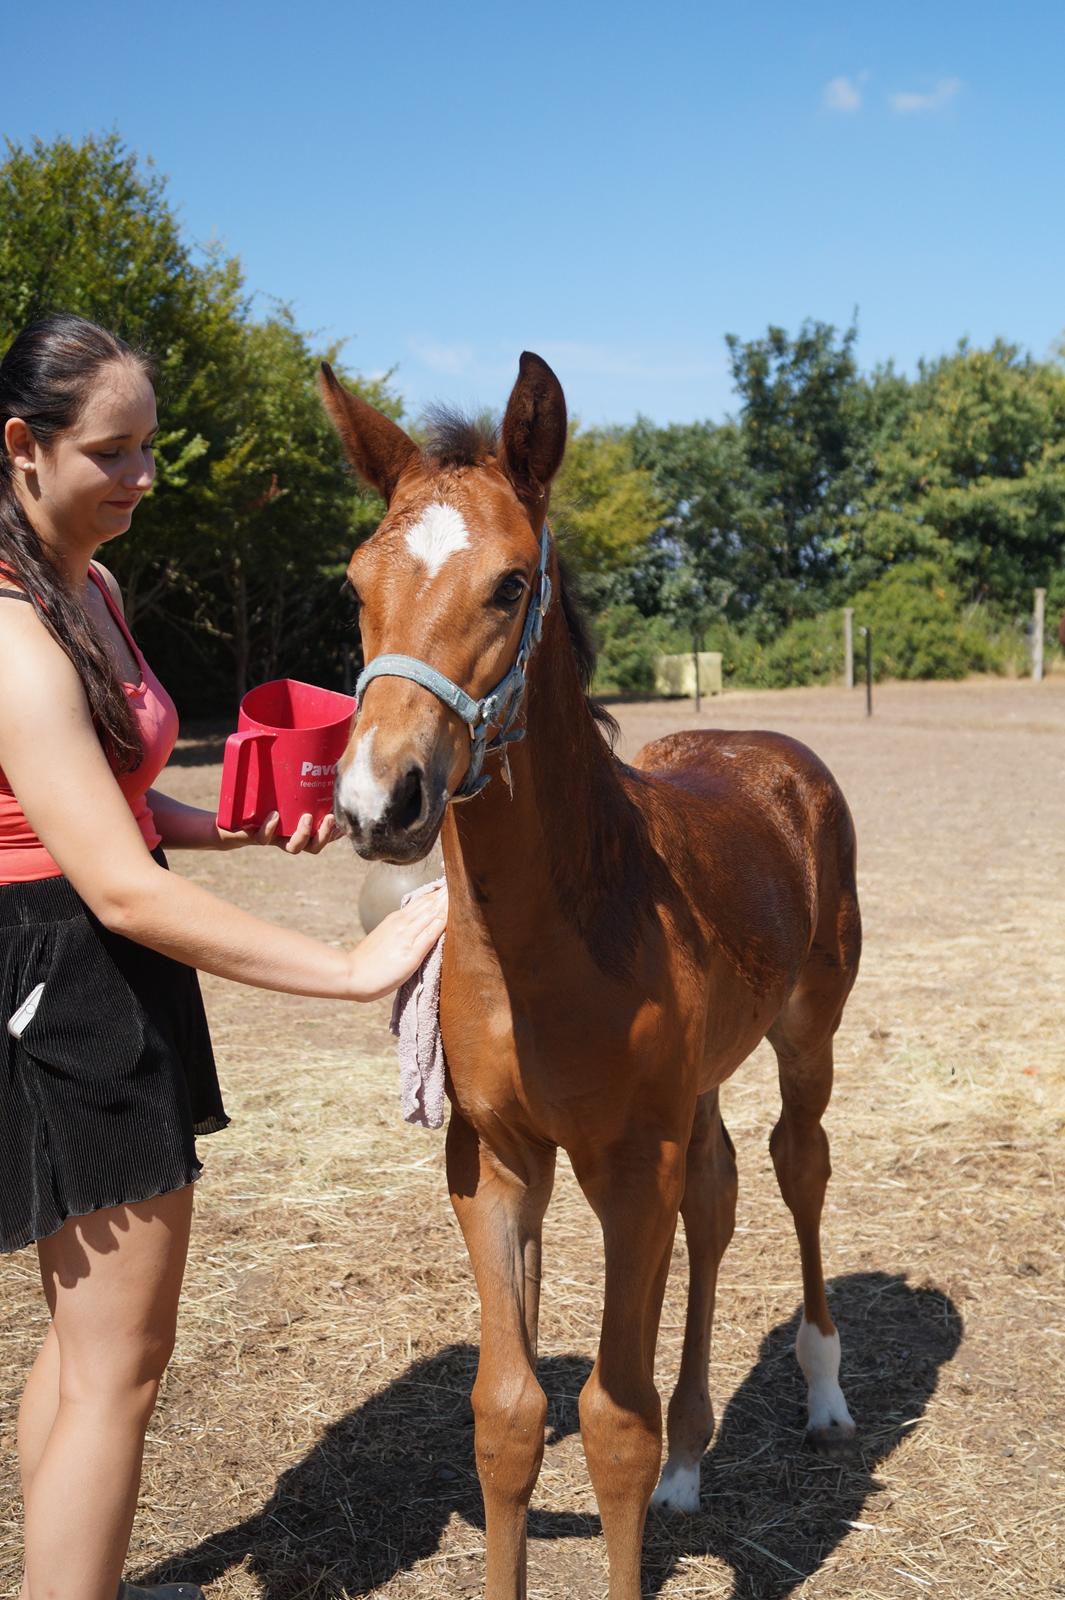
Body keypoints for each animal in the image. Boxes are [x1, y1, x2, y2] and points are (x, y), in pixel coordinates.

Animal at [319, 353, 857, 1600]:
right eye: (357, 582)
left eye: (511, 583)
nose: (377, 800)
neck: (551, 937)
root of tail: (777, 751)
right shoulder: (498, 1160)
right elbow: (509, 1414)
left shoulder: (626, 1167)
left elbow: (614, 1422)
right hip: (697, 1088)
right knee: (719, 1195)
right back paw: (696, 1462)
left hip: (806, 1034)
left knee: (797, 1167)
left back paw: (822, 1390)